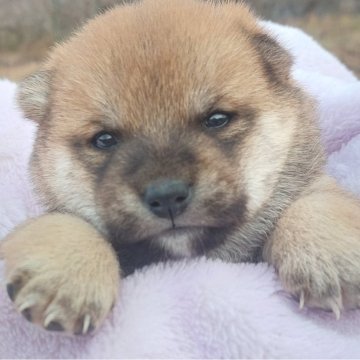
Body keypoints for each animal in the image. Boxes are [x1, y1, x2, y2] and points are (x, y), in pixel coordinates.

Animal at [0, 0, 360, 334]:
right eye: (104, 140)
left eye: (217, 119)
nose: (167, 196)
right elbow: (66, 220)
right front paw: (67, 269)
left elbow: (318, 202)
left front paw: (329, 251)